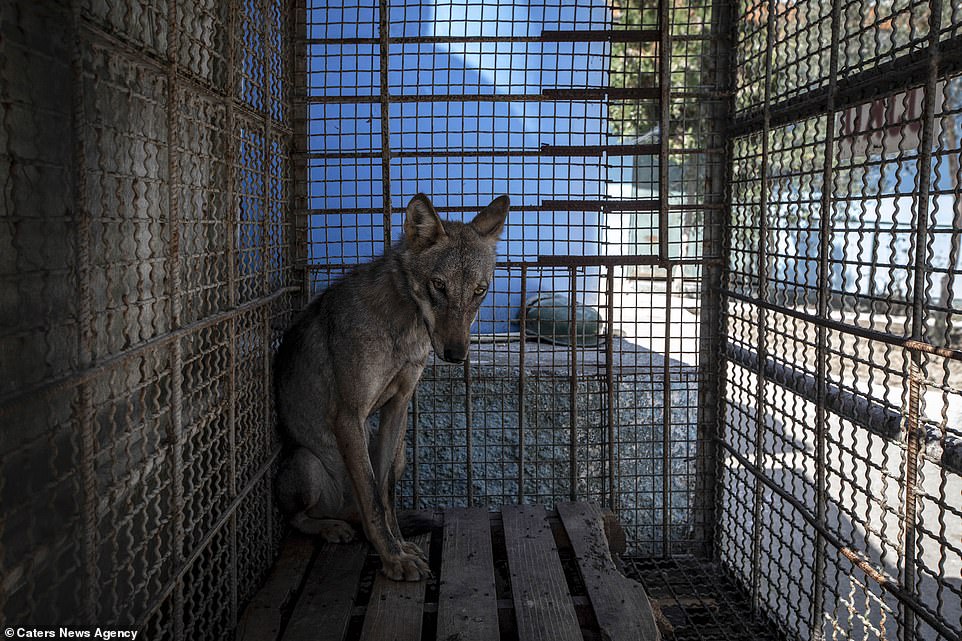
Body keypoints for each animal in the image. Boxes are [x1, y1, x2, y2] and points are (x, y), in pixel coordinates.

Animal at [273, 193, 509, 581]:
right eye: (438, 284)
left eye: (480, 290)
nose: (456, 354)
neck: (403, 329)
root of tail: (343, 510)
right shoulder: (348, 416)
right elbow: (371, 496)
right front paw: (393, 559)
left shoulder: (397, 406)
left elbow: (385, 495)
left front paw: (398, 547)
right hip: (306, 462)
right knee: (298, 518)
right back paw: (331, 527)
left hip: (397, 455)